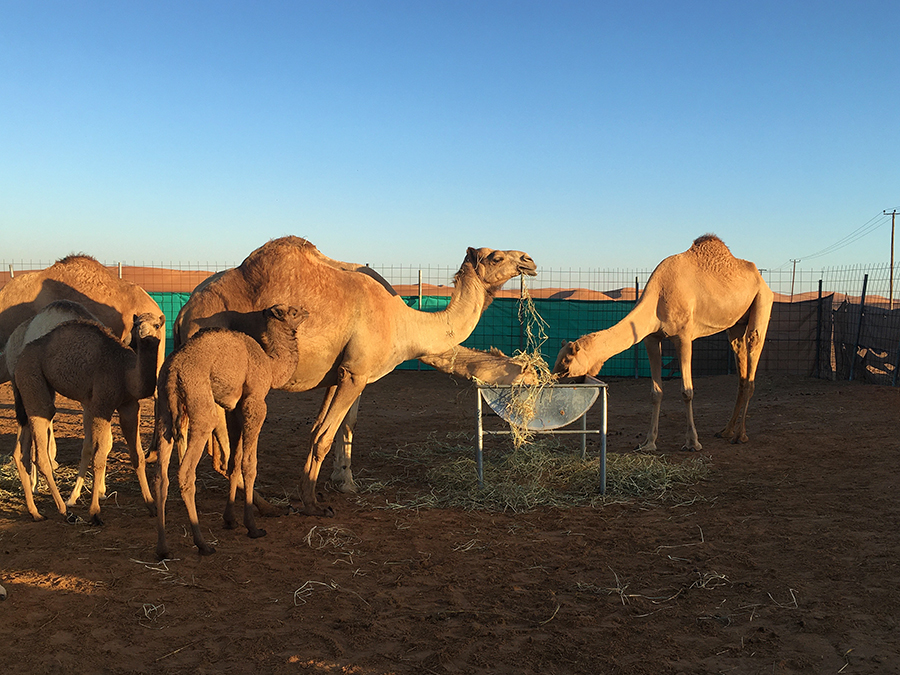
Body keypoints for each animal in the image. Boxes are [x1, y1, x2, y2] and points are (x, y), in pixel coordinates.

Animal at [11, 312, 165, 524]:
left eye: (157, 325)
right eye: (136, 324)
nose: (143, 333)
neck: (126, 372)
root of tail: (18, 360)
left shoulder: (129, 405)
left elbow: (138, 456)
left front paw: (151, 505)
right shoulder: (101, 405)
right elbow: (98, 457)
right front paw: (94, 512)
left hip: (28, 393)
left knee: (21, 453)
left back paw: (35, 513)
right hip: (32, 379)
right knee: (41, 449)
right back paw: (64, 510)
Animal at [156, 304, 310, 556]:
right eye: (294, 311)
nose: (308, 312)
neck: (270, 365)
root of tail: (173, 370)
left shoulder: (234, 409)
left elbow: (234, 462)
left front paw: (230, 519)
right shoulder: (254, 403)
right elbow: (249, 464)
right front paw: (253, 527)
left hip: (164, 412)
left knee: (161, 475)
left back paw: (162, 549)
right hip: (200, 405)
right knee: (186, 472)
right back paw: (203, 544)